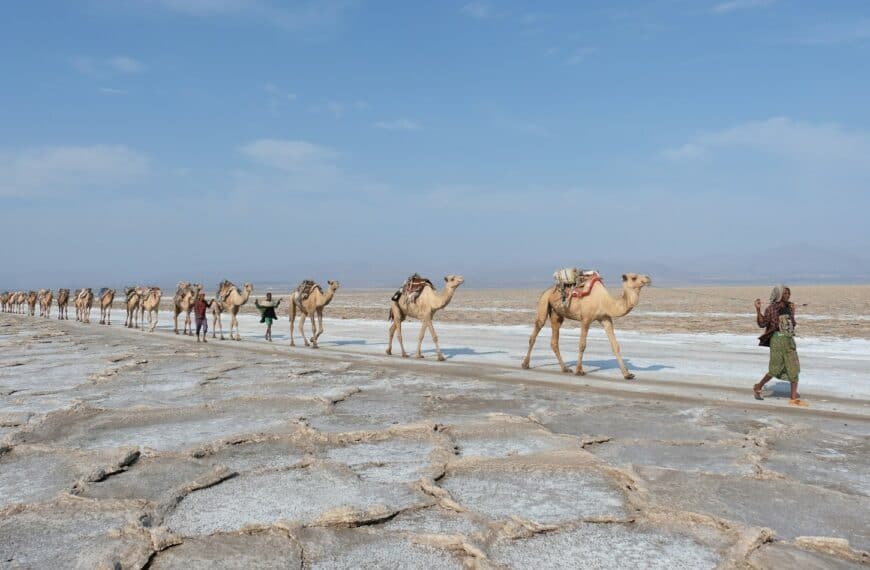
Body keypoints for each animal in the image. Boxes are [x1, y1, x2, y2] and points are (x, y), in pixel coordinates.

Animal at [521, 272, 652, 379]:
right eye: (634, 277)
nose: (648, 279)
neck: (605, 301)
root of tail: (548, 290)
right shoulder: (586, 319)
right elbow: (582, 345)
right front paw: (579, 371)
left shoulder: (605, 319)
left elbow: (615, 346)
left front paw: (627, 374)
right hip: (543, 303)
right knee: (535, 332)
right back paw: (525, 364)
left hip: (557, 314)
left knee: (554, 341)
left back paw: (565, 369)